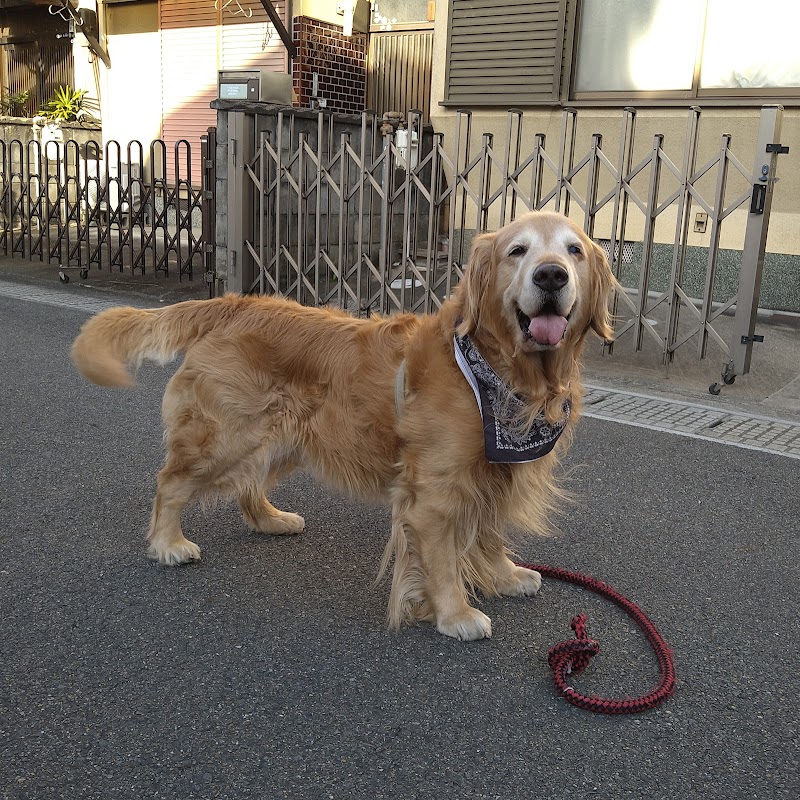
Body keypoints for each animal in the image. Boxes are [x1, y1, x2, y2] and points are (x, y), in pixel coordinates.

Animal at [73, 209, 612, 640]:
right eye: (517, 251)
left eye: (575, 250)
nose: (551, 276)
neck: (497, 371)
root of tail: (231, 303)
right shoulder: (436, 492)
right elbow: (441, 560)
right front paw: (455, 613)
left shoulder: (495, 474)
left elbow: (490, 534)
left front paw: (504, 576)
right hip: (226, 436)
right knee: (171, 482)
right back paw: (167, 543)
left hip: (280, 436)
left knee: (248, 483)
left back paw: (270, 519)